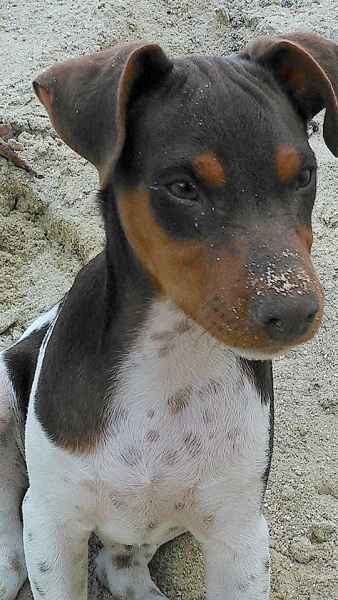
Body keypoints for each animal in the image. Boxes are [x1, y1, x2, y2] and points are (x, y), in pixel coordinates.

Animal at [0, 34, 338, 600]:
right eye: (182, 187)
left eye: (305, 177)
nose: (295, 313)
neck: (172, 355)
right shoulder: (52, 522)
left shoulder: (239, 535)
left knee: (118, 565)